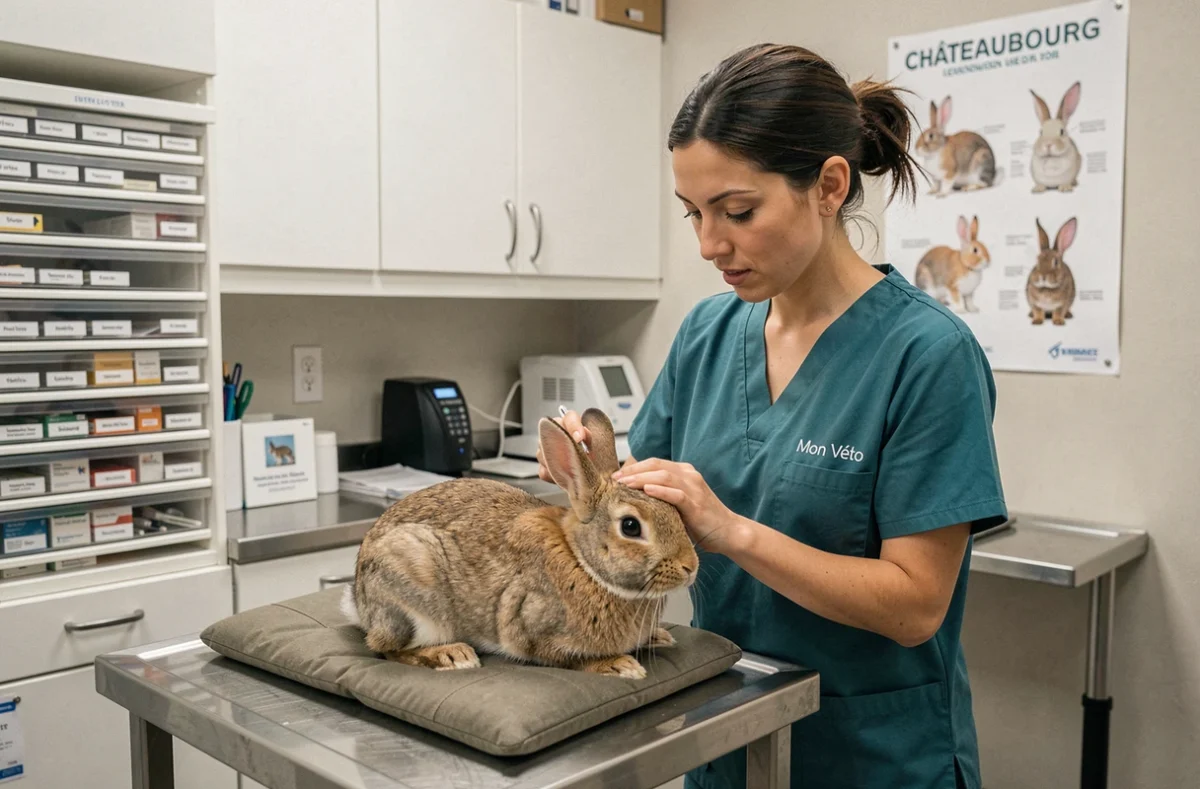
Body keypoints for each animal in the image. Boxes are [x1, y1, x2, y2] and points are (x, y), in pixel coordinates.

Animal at [344, 408, 699, 679]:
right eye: (630, 526)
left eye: (676, 512)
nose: (690, 568)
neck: (582, 562)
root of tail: (359, 602)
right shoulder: (534, 631)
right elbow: (570, 659)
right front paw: (620, 665)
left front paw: (659, 636)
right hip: (410, 584)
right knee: (386, 649)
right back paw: (452, 655)